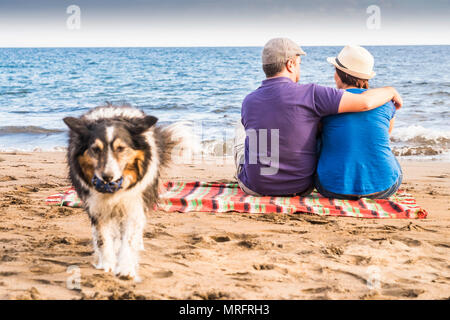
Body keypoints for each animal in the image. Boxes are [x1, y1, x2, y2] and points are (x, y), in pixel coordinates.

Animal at [62, 104, 192, 280]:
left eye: (121, 148)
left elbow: (129, 238)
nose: (107, 177)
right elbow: (102, 237)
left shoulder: (133, 203)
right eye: (95, 149)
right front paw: (107, 264)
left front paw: (125, 269)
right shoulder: (96, 206)